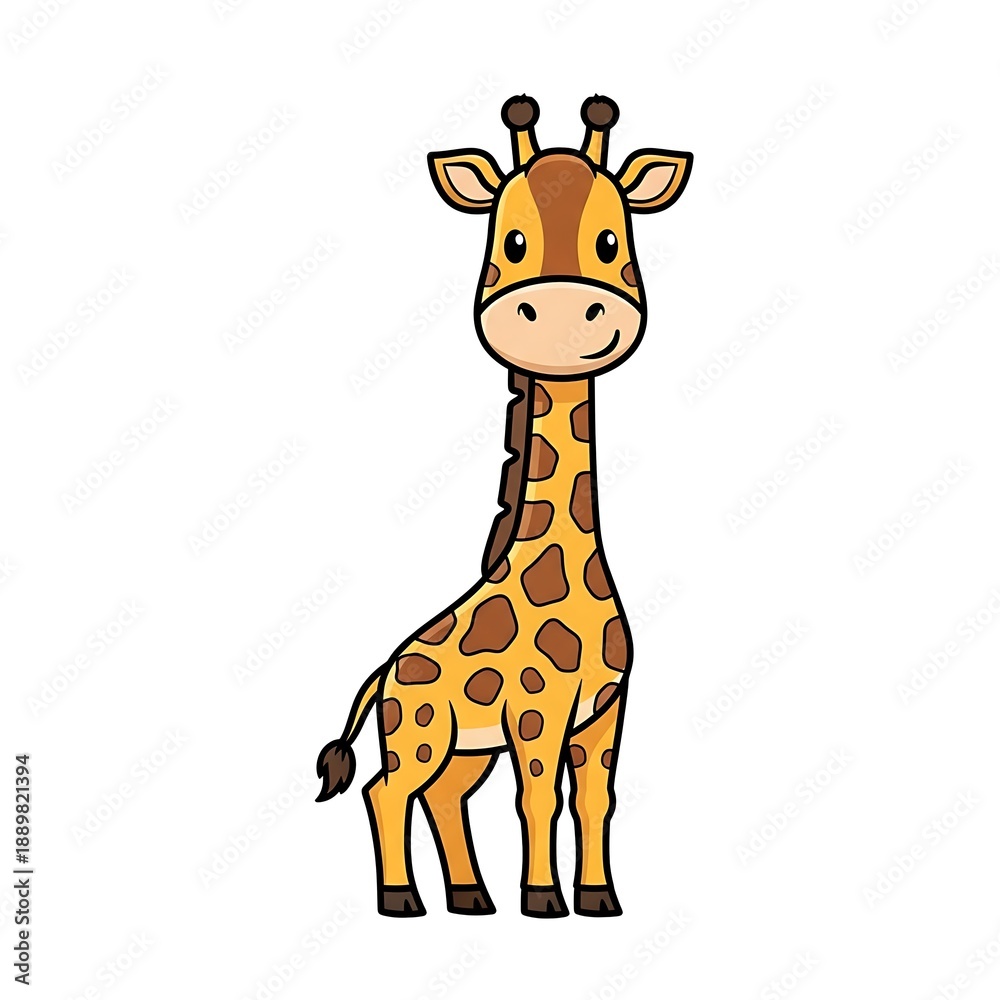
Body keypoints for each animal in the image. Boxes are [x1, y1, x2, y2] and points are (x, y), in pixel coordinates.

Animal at [316, 94, 692, 918]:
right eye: (512, 239)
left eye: (611, 239)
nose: (561, 310)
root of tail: (384, 672)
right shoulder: (534, 710)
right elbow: (539, 799)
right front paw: (545, 900)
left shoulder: (604, 709)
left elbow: (595, 800)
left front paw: (599, 899)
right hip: (421, 731)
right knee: (387, 790)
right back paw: (403, 900)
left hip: (463, 745)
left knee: (442, 796)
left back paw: (470, 898)